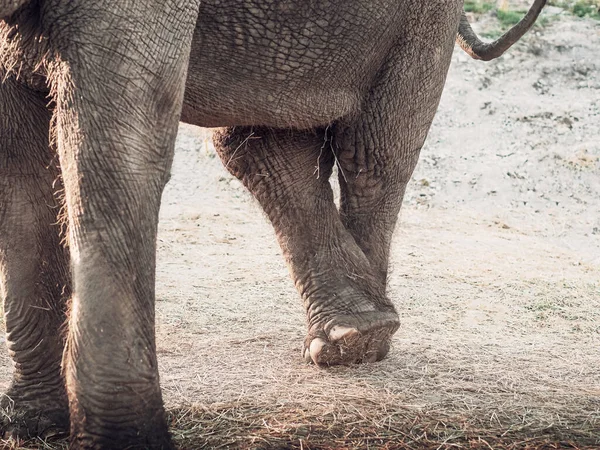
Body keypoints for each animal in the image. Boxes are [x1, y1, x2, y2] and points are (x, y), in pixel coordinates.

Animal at [0, 0, 544, 448]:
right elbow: (19, 167)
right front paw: (32, 424)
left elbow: (114, 147)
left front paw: (126, 439)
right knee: (261, 142)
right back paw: (355, 330)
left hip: (422, 20)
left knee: (372, 155)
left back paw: (366, 343)